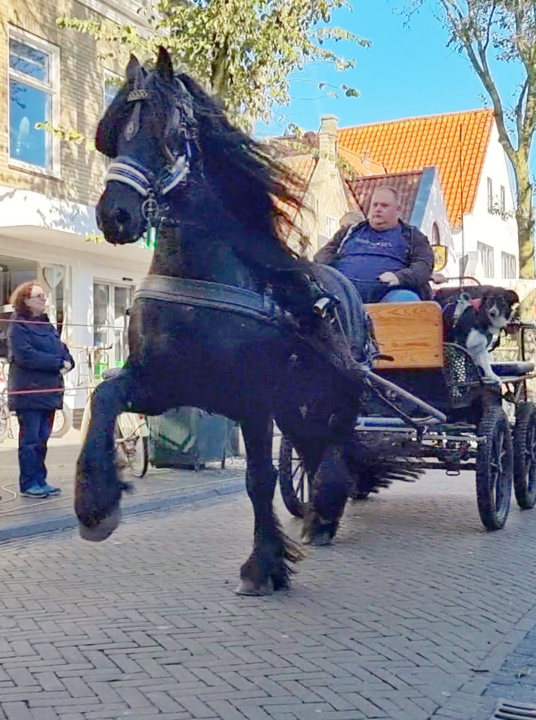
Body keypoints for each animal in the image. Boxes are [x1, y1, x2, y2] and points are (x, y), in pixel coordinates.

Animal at [77, 46, 400, 596]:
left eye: (168, 130)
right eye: (114, 132)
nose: (115, 214)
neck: (198, 275)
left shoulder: (254, 401)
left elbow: (258, 479)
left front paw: (264, 565)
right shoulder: (164, 384)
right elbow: (103, 397)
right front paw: (97, 505)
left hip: (334, 396)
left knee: (334, 447)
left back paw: (323, 517)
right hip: (298, 405)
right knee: (312, 450)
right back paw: (318, 514)